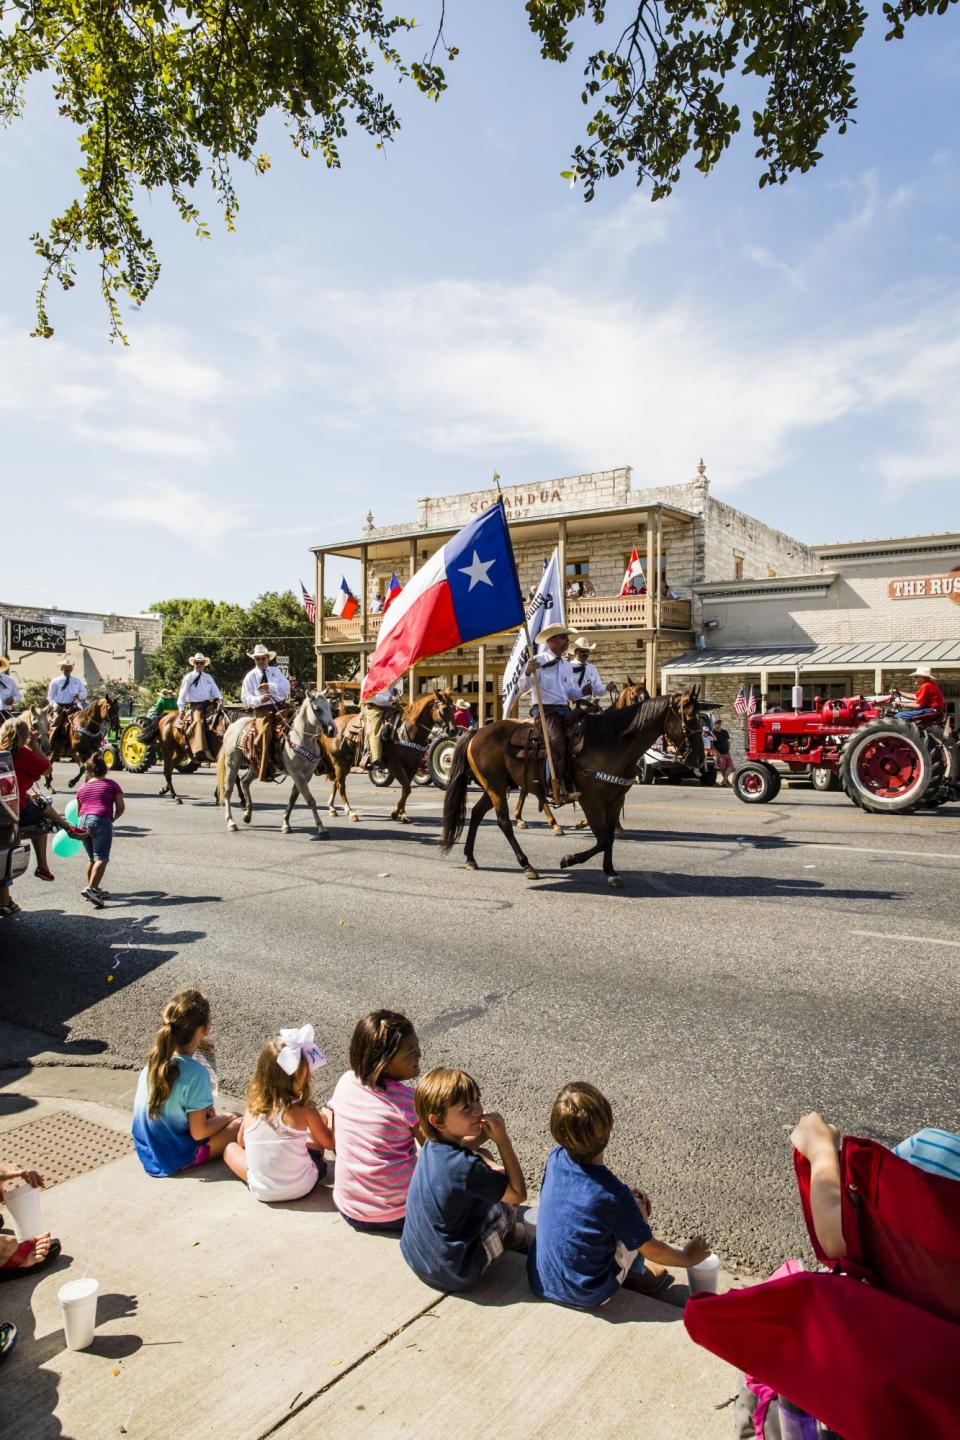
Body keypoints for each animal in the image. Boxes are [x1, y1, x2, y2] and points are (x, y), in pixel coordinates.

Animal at [214, 691, 338, 840]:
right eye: (317, 709)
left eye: (330, 708)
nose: (332, 730)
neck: (301, 738)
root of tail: (232, 726)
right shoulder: (298, 775)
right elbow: (310, 800)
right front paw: (321, 828)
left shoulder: (305, 776)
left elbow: (292, 799)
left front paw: (286, 824)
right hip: (232, 763)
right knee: (228, 790)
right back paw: (231, 822)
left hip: (257, 767)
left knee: (244, 781)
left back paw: (247, 815)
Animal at [320, 694, 457, 829]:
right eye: (444, 709)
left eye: (454, 708)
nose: (453, 730)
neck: (407, 731)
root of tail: (333, 724)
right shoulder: (395, 765)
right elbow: (407, 788)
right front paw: (396, 812)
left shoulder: (413, 766)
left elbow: (405, 789)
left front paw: (402, 814)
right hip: (339, 763)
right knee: (341, 785)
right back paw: (350, 812)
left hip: (346, 764)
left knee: (336, 782)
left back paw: (332, 809)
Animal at [443, 688, 705, 887]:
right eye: (689, 719)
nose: (699, 759)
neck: (611, 742)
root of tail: (477, 731)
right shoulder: (591, 800)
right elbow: (602, 839)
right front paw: (568, 859)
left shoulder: (615, 799)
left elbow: (609, 837)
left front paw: (611, 872)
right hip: (496, 786)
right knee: (503, 822)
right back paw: (526, 864)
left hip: (497, 786)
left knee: (477, 813)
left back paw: (470, 858)